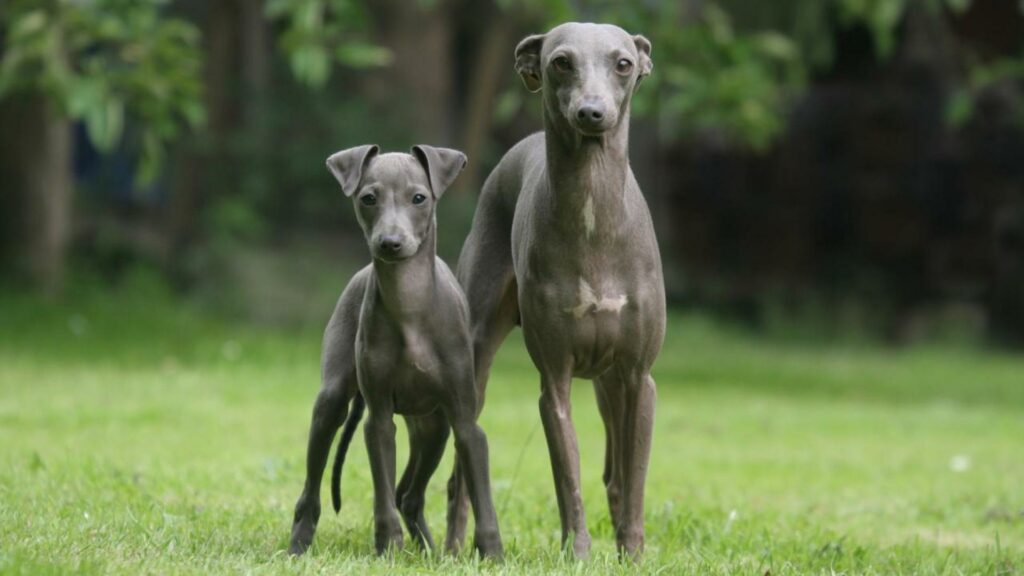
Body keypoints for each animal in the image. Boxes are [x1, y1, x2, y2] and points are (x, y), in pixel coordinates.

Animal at [288, 143, 503, 557]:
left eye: (419, 198)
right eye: (368, 198)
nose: (390, 243)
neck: (410, 303)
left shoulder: (465, 422)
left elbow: (481, 496)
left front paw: (492, 554)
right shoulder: (379, 418)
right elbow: (381, 492)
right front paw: (388, 545)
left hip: (433, 428)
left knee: (409, 494)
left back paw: (431, 552)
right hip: (332, 403)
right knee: (313, 490)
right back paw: (298, 545)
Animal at [448, 22, 663, 557]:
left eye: (623, 63)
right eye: (560, 62)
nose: (592, 113)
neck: (593, 214)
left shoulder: (638, 378)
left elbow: (633, 479)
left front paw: (632, 553)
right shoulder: (555, 380)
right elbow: (568, 476)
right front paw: (579, 552)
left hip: (611, 386)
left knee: (615, 474)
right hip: (476, 360)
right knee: (459, 470)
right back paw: (456, 546)